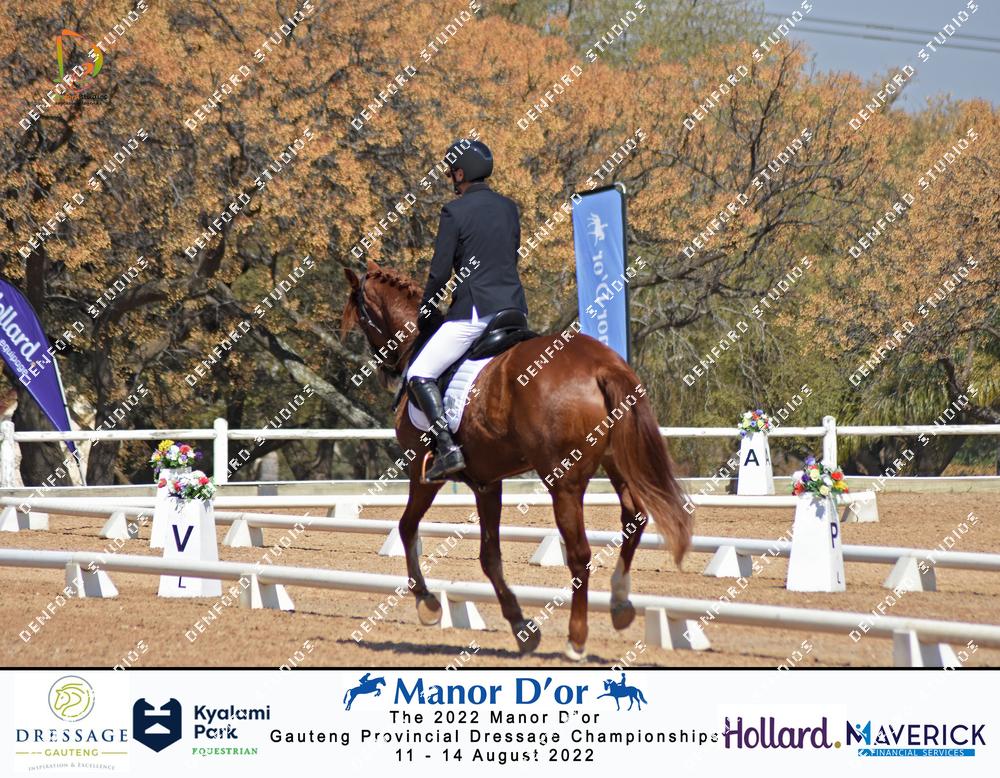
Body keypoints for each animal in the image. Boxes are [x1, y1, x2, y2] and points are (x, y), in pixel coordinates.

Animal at [341, 259, 692, 660]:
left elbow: (406, 527)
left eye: (361, 317)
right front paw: (521, 627)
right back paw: (619, 603)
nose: (387, 371)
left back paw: (577, 638)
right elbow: (489, 556)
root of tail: (602, 366)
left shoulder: (422, 469)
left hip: (563, 480)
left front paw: (427, 603)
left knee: (579, 552)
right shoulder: (486, 482)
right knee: (635, 518)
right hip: (616, 463)